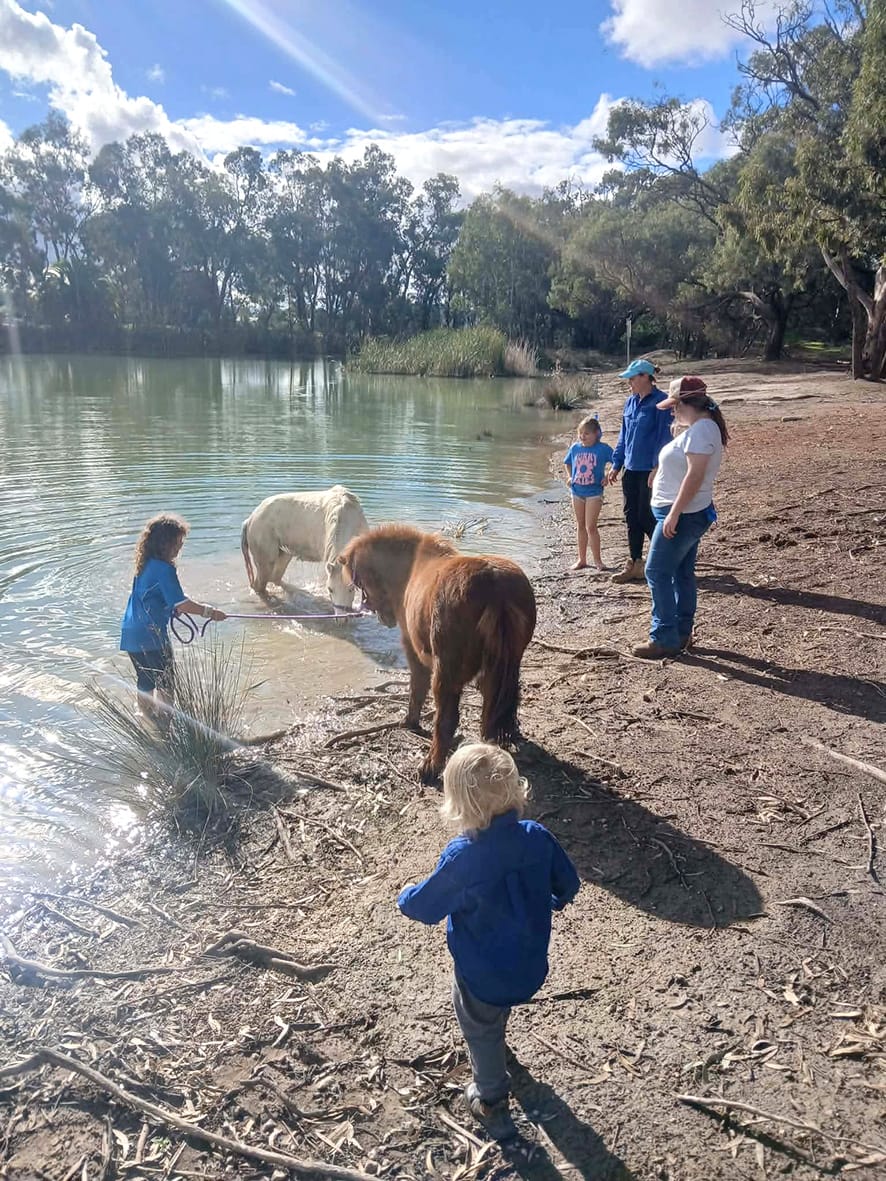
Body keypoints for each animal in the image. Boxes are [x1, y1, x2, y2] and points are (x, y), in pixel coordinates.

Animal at [241, 485, 369, 609]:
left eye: (351, 589)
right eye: (330, 589)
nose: (342, 616)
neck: (346, 515)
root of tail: (249, 520)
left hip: (284, 553)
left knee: (275, 577)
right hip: (265, 559)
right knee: (260, 585)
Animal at [339, 524, 536, 782]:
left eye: (360, 583)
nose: (371, 609)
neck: (409, 567)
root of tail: (495, 587)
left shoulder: (413, 650)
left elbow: (416, 689)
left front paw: (410, 722)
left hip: (445, 672)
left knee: (446, 720)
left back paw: (430, 767)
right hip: (504, 665)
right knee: (493, 703)